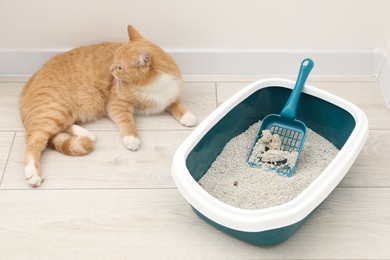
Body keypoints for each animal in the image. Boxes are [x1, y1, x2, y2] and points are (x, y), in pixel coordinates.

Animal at [19, 24, 197, 187]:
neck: (153, 86)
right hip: (55, 110)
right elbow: (126, 121)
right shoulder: (117, 104)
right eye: (114, 61)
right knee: (33, 140)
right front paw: (132, 138)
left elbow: (176, 105)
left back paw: (87, 134)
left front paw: (188, 116)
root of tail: (27, 85)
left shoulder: (169, 96)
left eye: (119, 67)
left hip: (64, 113)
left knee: (61, 129)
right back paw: (32, 173)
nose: (110, 70)